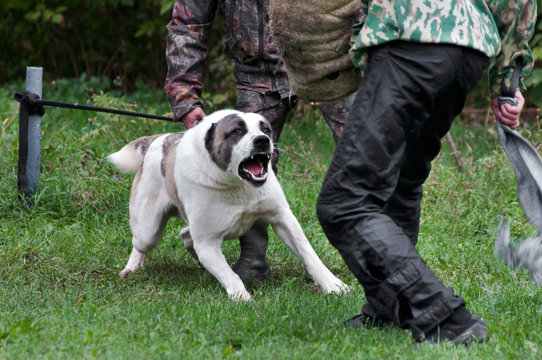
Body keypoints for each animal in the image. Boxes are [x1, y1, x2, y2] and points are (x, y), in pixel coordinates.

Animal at [108, 108, 350, 300]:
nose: (262, 140)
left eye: (266, 129)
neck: (237, 184)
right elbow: (228, 273)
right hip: (148, 229)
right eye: (236, 132)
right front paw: (242, 296)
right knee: (141, 244)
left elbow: (309, 254)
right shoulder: (207, 242)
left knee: (186, 235)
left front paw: (332, 284)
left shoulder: (283, 219)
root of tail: (159, 139)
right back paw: (131, 268)